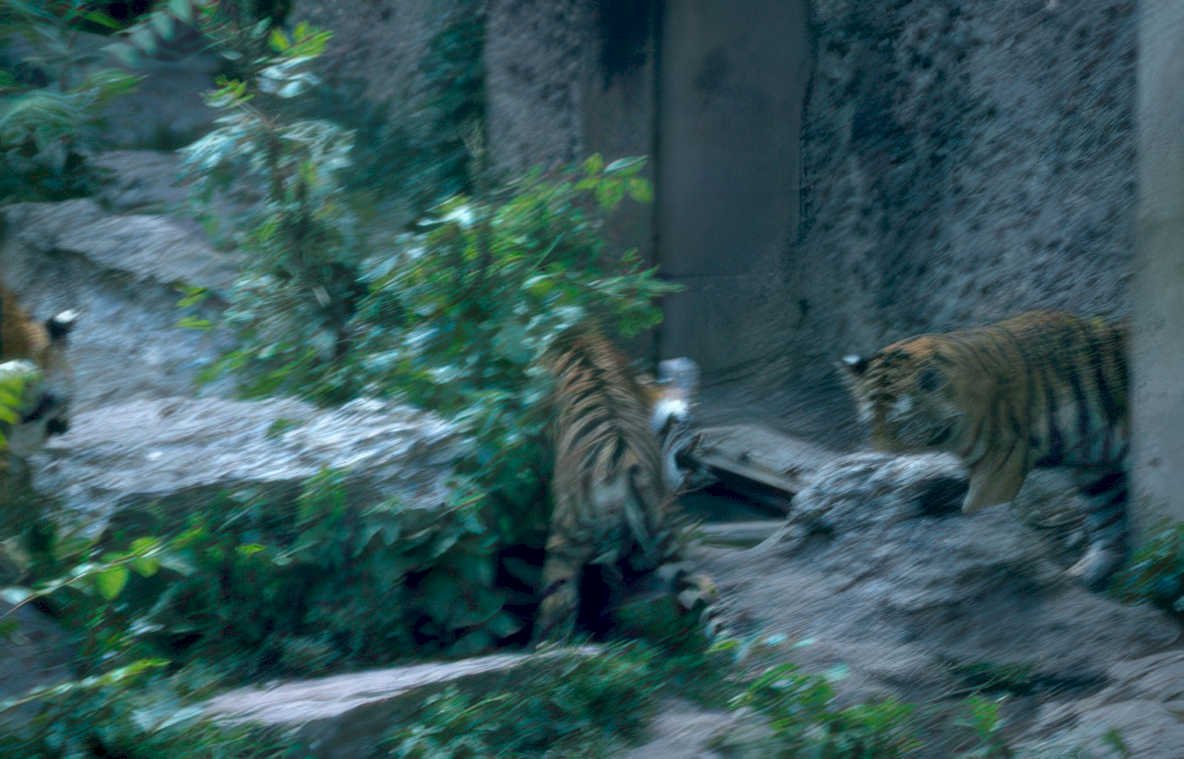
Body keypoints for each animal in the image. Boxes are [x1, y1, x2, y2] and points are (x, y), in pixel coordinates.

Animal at [532, 323, 721, 644]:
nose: (707, 471)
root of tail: (626, 468)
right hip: (663, 539)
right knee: (701, 590)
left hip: (565, 539)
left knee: (556, 609)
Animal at [839, 310, 1128, 590]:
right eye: (869, 425)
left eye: (901, 425)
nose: (882, 456)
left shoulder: (1003, 463)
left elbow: (978, 507)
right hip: (1097, 472)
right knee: (1108, 516)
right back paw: (1090, 570)